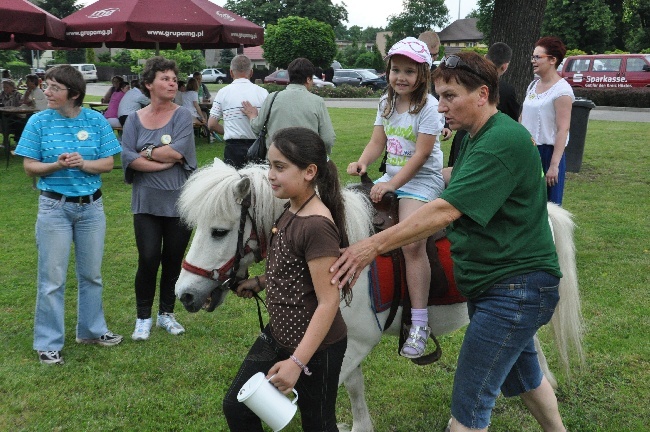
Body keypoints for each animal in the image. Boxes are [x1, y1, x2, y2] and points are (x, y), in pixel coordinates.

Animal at [173, 159, 584, 432]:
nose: (185, 295)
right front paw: (361, 426)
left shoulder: (353, 342)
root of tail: (544, 211)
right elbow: (353, 386)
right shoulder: (344, 341)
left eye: (219, 231)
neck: (340, 251)